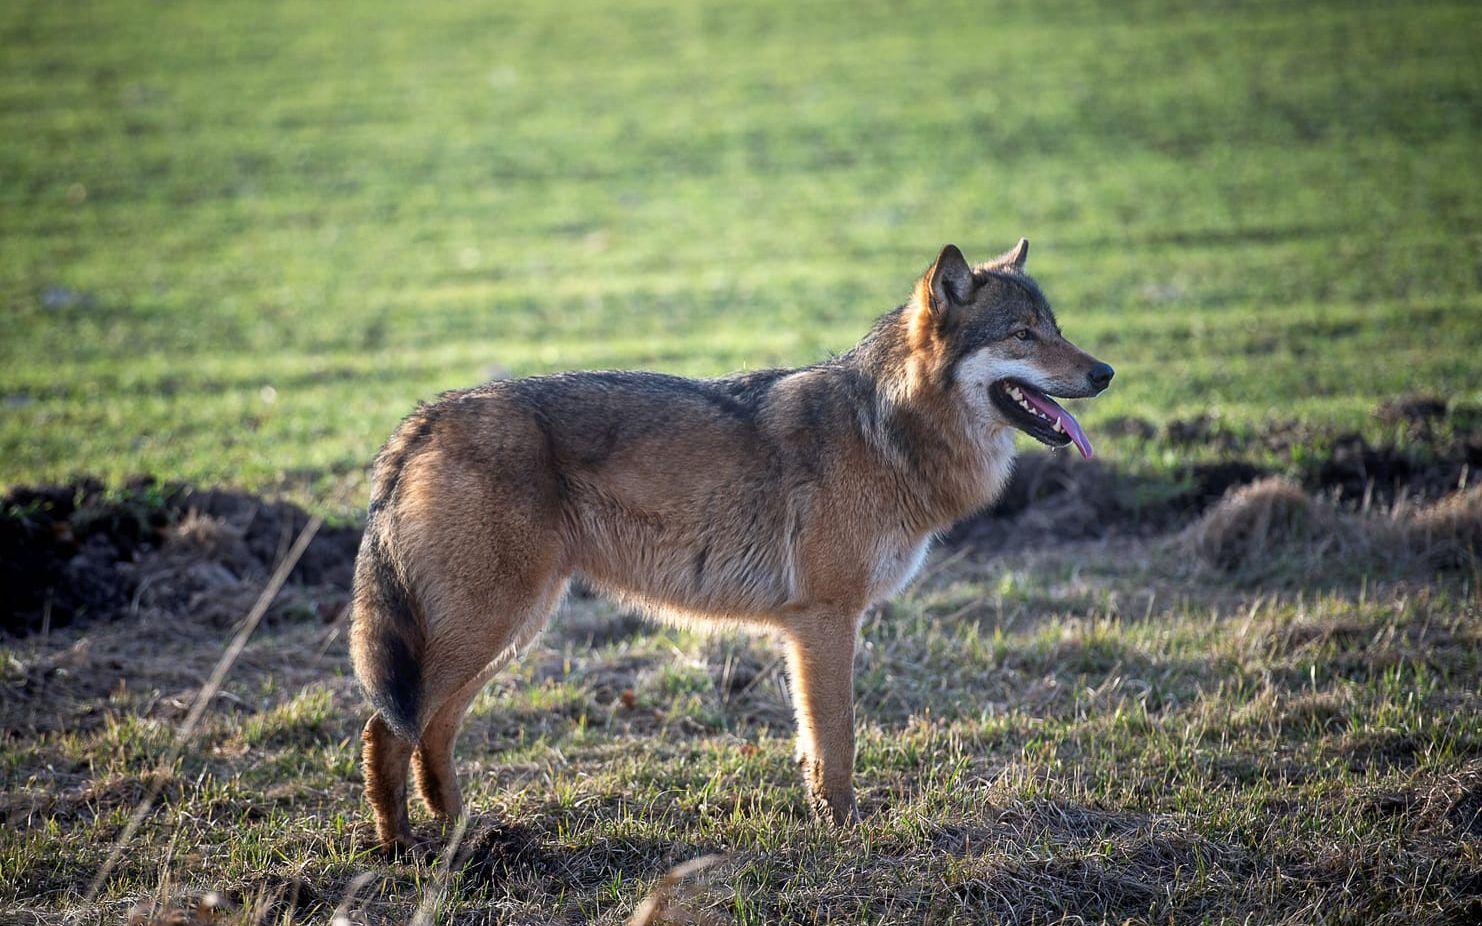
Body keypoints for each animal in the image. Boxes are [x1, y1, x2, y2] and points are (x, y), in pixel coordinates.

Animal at [346, 240, 1114, 853]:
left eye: (1056, 329)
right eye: (1022, 335)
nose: (1105, 372)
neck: (888, 431)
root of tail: (423, 419)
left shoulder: (809, 629)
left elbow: (814, 744)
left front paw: (825, 821)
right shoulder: (826, 619)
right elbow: (838, 742)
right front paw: (847, 834)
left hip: (508, 631)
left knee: (433, 732)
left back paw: (463, 835)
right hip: (486, 628)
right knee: (387, 730)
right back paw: (401, 849)